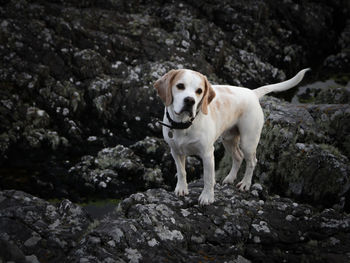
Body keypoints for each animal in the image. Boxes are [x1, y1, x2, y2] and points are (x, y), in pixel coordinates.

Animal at [154, 68, 308, 206]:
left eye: (199, 91)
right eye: (180, 86)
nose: (190, 101)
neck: (184, 125)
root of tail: (252, 93)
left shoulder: (207, 154)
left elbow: (208, 178)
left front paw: (207, 197)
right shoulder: (176, 151)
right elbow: (181, 172)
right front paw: (181, 188)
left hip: (248, 142)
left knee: (252, 161)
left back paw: (245, 184)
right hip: (228, 140)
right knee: (238, 157)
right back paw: (230, 178)